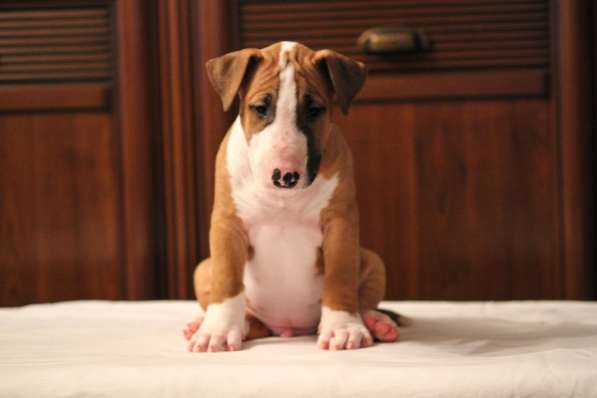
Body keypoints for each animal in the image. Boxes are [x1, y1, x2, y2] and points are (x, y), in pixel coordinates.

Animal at [179, 41, 398, 352]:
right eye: (260, 108)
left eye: (315, 110)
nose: (284, 175)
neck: (283, 199)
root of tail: (288, 328)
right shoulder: (227, 223)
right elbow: (227, 278)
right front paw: (216, 332)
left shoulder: (341, 223)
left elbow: (341, 275)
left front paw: (343, 329)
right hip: (202, 269)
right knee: (252, 320)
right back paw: (214, 324)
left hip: (373, 260)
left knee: (365, 299)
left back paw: (377, 322)